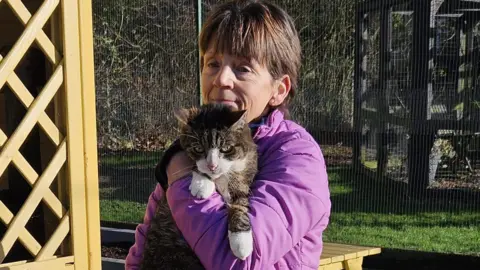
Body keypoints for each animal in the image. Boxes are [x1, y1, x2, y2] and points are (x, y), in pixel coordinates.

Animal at [140, 104, 258, 270]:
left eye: (226, 148)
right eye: (198, 149)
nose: (212, 166)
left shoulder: (245, 172)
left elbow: (240, 202)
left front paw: (241, 243)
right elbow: (192, 162)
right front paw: (202, 184)